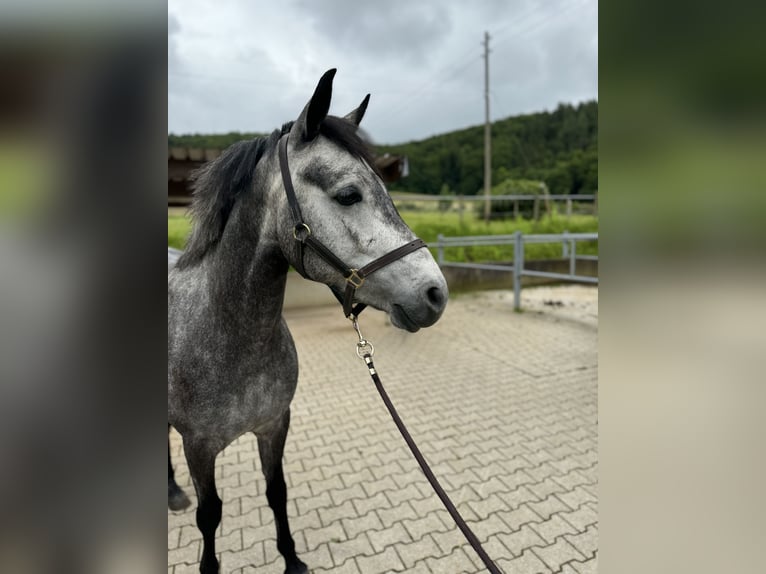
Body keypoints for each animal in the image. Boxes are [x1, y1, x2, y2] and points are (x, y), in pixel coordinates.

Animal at [165, 72, 448, 574]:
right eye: (349, 195)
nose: (436, 294)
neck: (228, 337)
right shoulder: (198, 447)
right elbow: (210, 515)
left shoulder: (275, 425)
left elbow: (276, 491)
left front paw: (292, 558)